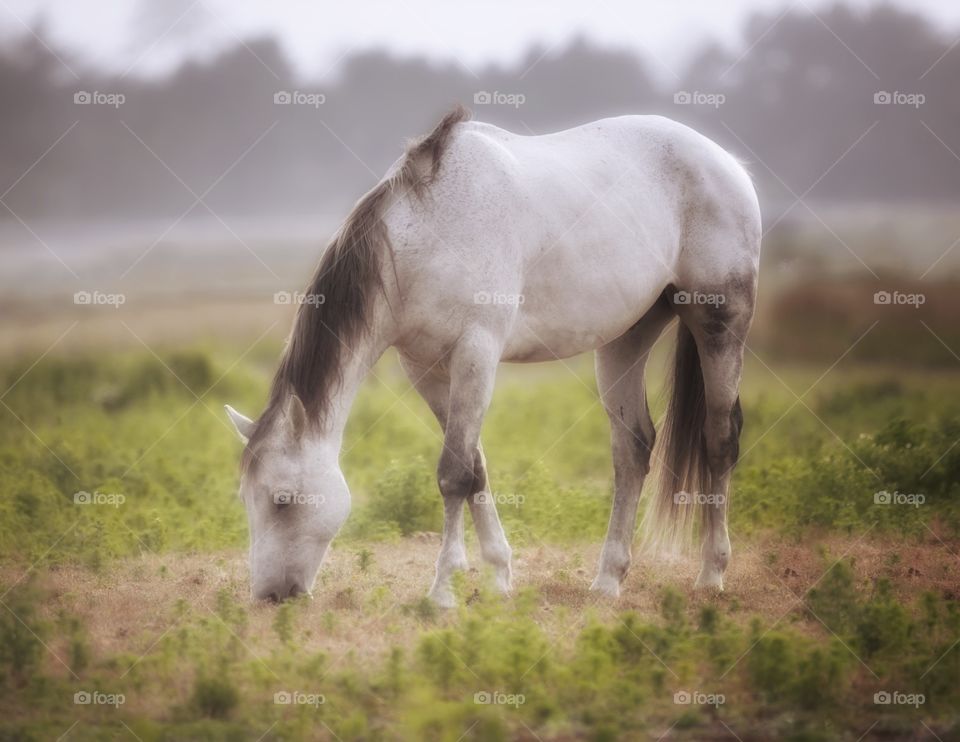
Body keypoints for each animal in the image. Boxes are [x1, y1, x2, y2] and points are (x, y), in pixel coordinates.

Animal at [224, 105, 760, 606]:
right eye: (247, 498)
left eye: (283, 500)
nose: (270, 595)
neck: (425, 234)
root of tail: (725, 162)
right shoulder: (426, 369)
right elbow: (476, 468)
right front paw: (499, 577)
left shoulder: (476, 353)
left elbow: (455, 473)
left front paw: (443, 589)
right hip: (624, 340)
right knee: (632, 449)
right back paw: (608, 580)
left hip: (720, 322)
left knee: (719, 439)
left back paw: (711, 573)